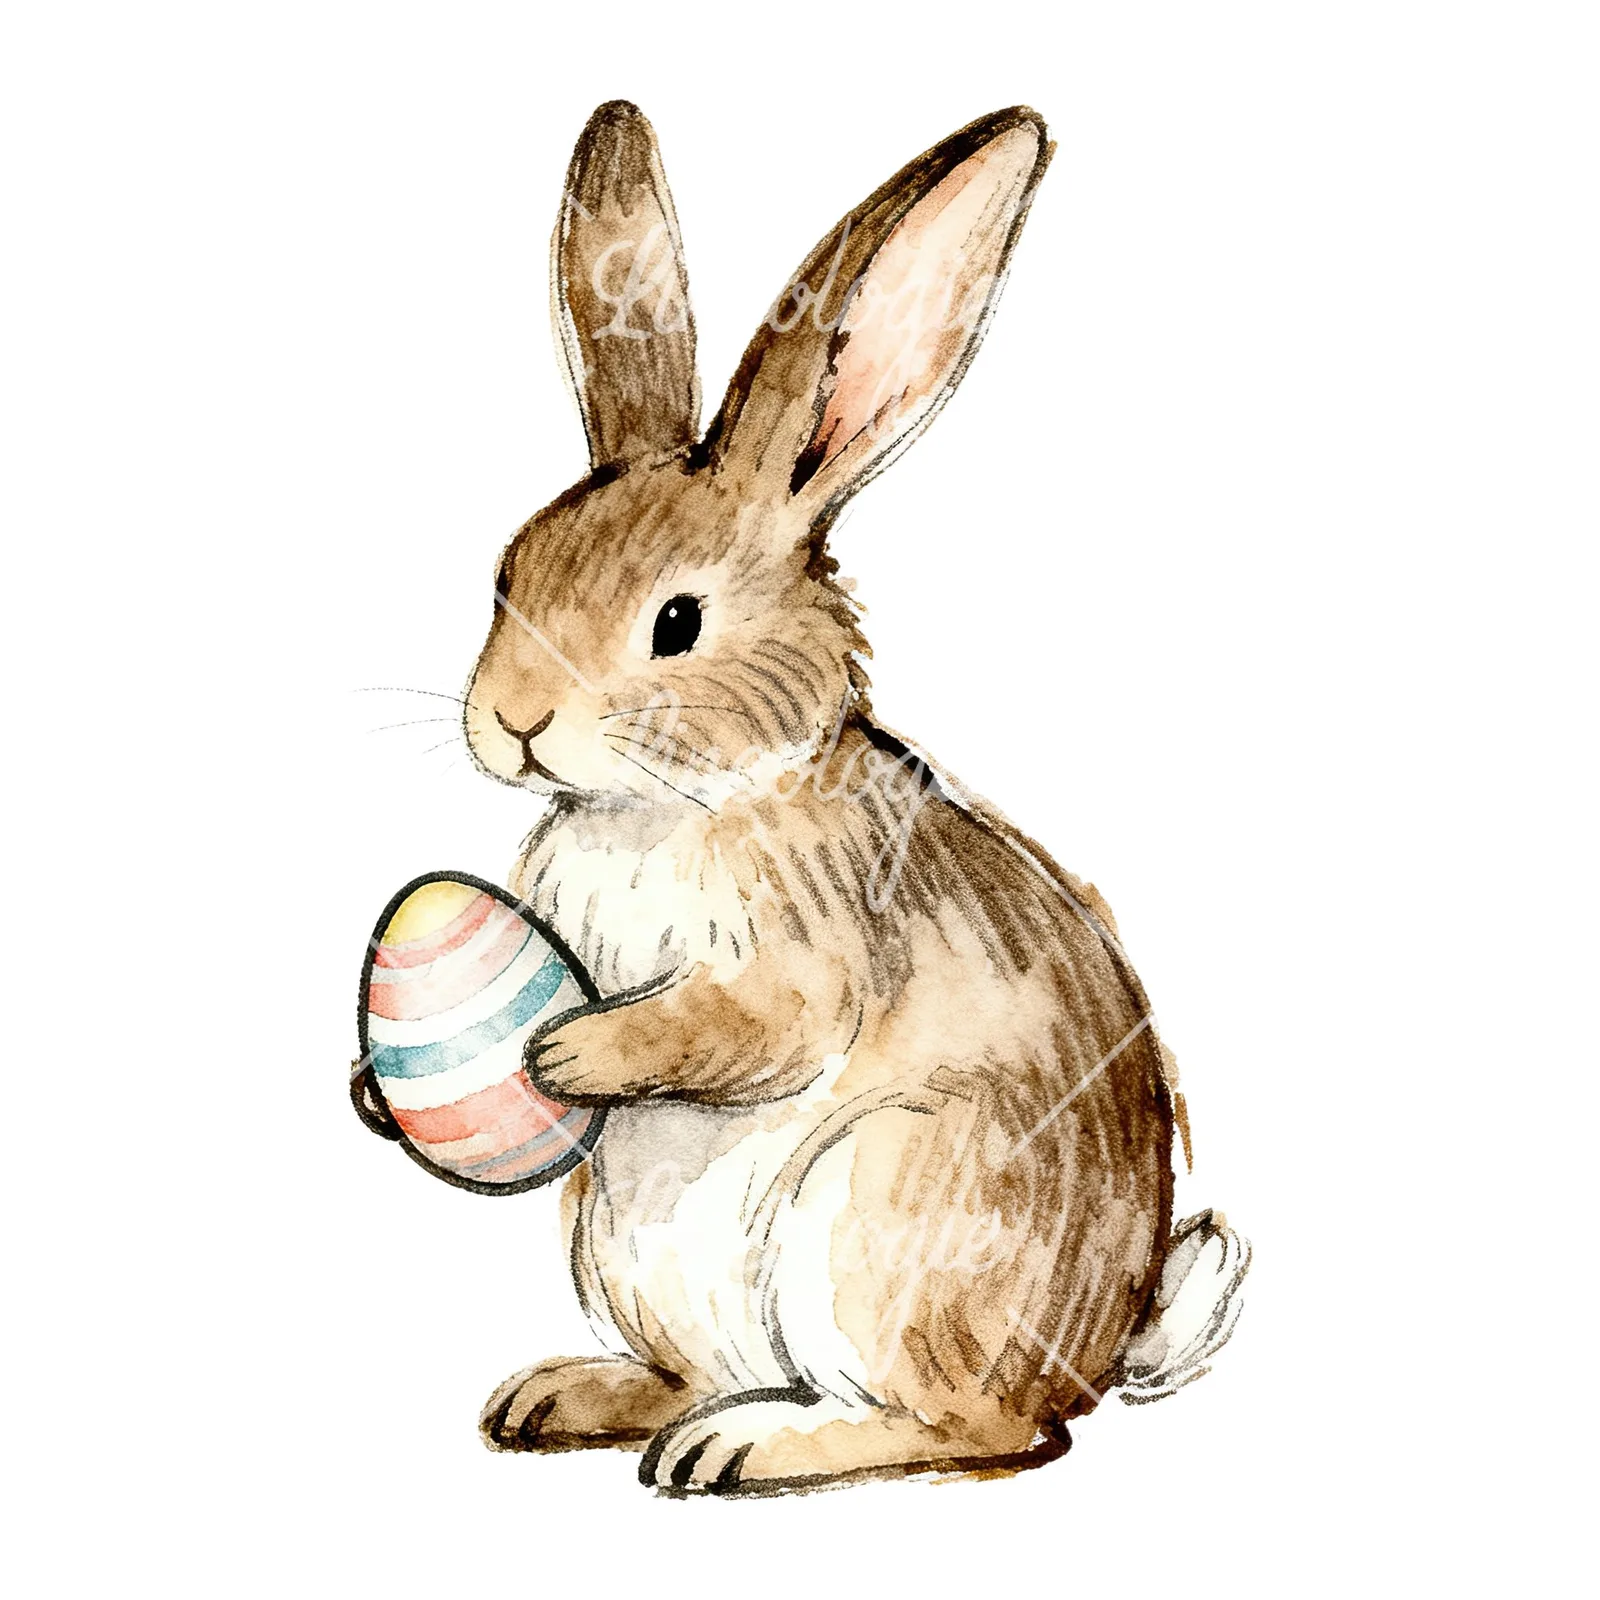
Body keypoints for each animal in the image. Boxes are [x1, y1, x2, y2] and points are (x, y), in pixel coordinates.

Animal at [362, 100, 1248, 1493]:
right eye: (507, 573)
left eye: (675, 623)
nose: (512, 723)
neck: (678, 797)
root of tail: (1096, 1353)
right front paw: (370, 1084)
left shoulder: (804, 947)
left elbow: (747, 1026)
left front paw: (565, 1050)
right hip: (625, 1246)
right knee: (697, 1373)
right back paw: (573, 1398)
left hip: (884, 1219)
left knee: (987, 1430)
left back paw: (744, 1447)